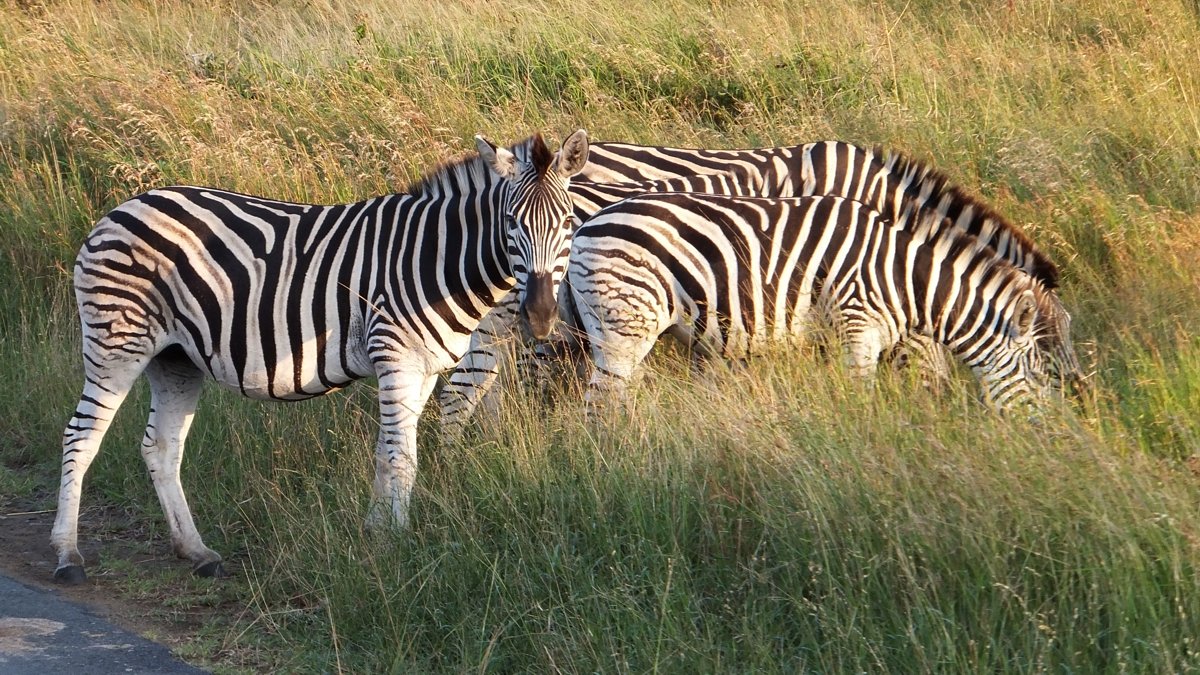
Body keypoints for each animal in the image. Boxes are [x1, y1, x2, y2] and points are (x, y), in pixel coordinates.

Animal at [52, 130, 589, 584]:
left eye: (567, 223)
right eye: (511, 224)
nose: (540, 316)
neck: (438, 259)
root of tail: (122, 207)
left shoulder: (422, 368)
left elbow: (386, 453)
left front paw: (377, 532)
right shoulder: (395, 355)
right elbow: (402, 458)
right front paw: (396, 546)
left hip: (176, 359)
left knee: (161, 448)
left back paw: (196, 551)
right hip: (118, 342)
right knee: (80, 436)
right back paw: (67, 555)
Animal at [568, 192, 1057, 412]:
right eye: (1042, 376)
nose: (1044, 438)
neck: (903, 280)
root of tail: (587, 226)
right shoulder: (857, 327)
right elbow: (862, 398)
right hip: (623, 325)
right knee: (601, 404)